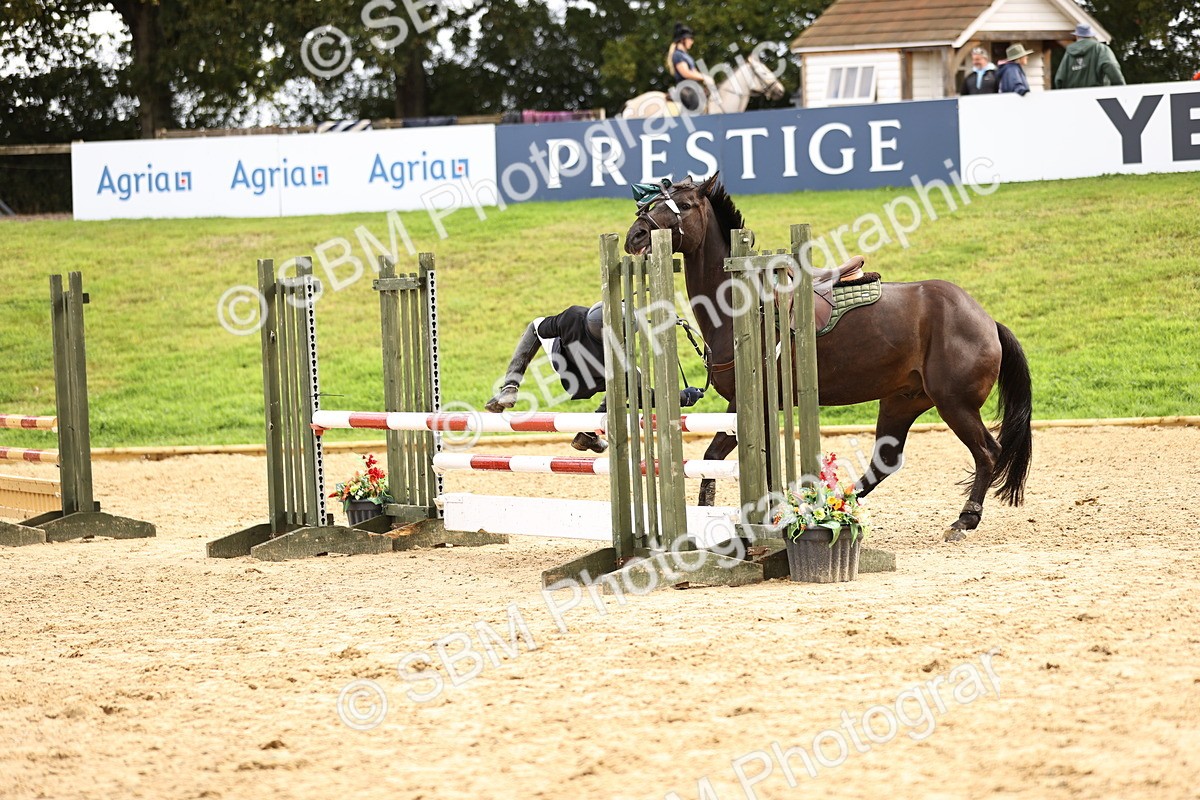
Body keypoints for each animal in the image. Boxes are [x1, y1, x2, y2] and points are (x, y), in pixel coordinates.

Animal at [622, 175, 1033, 540]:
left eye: (685, 205)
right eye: (651, 204)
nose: (635, 236)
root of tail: (987, 320)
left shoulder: (753, 404)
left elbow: (736, 459)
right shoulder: (742, 407)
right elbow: (714, 456)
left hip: (954, 403)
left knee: (988, 452)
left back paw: (965, 519)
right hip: (902, 400)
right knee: (886, 460)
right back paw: (835, 503)